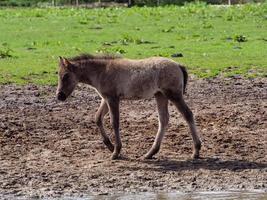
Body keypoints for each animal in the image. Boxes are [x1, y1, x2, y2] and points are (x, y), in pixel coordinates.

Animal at [57, 54, 202, 160]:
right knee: (164, 120)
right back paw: (150, 153)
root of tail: (178, 65)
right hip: (160, 95)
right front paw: (110, 146)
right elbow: (97, 118)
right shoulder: (105, 99)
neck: (102, 71)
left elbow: (114, 122)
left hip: (173, 95)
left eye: (66, 76)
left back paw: (196, 151)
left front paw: (116, 152)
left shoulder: (113, 99)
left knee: (188, 114)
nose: (59, 96)